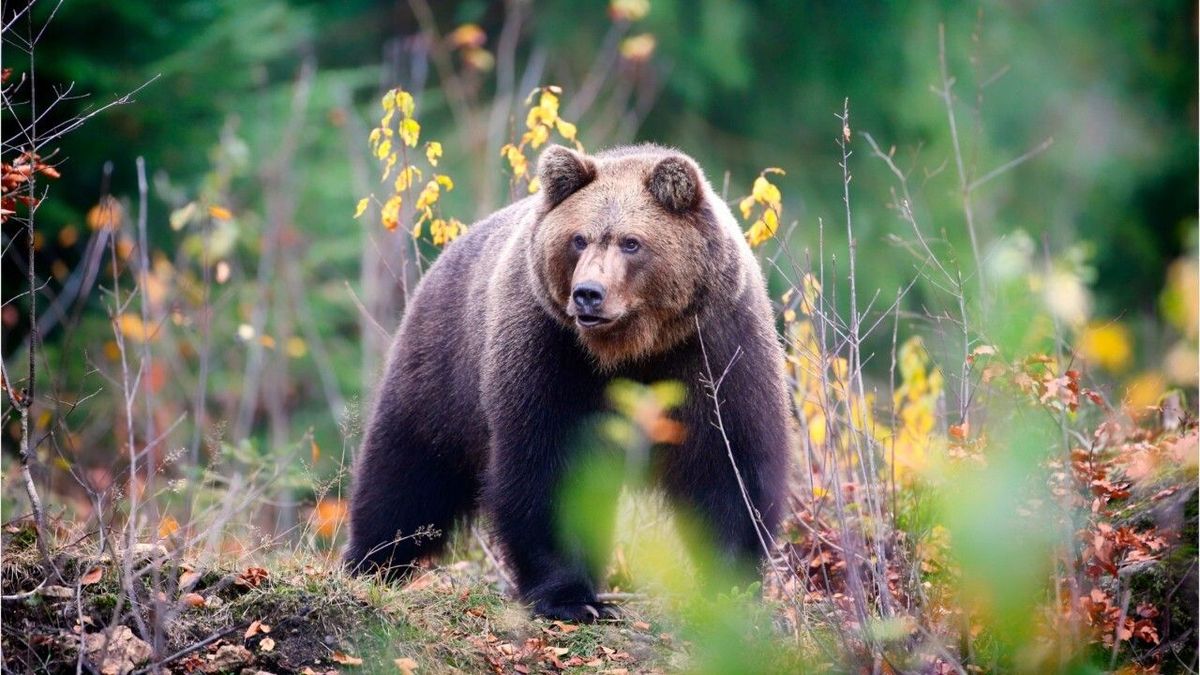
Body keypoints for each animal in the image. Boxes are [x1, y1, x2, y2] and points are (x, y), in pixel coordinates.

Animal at [345, 142, 796, 619]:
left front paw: (730, 589)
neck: (634, 348)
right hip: (443, 369)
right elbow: (549, 466)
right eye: (578, 239)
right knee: (407, 470)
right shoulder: (551, 350)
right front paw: (572, 599)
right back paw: (372, 562)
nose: (588, 294)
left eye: (632, 242)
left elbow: (729, 465)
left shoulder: (713, 349)